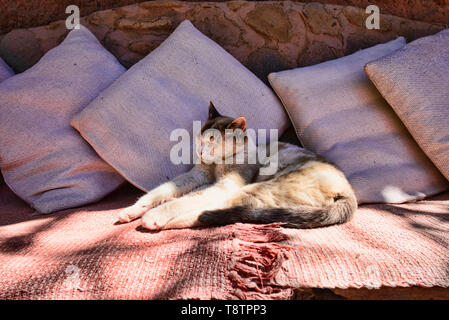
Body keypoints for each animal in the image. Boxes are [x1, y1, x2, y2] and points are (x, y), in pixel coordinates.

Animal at [117, 102, 356, 230]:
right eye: (201, 137)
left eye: (212, 141)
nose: (199, 150)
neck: (217, 165)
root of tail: (348, 191)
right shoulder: (196, 176)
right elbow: (160, 192)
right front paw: (131, 211)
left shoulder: (225, 185)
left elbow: (183, 200)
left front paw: (154, 215)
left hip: (254, 189)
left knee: (215, 212)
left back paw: (168, 222)